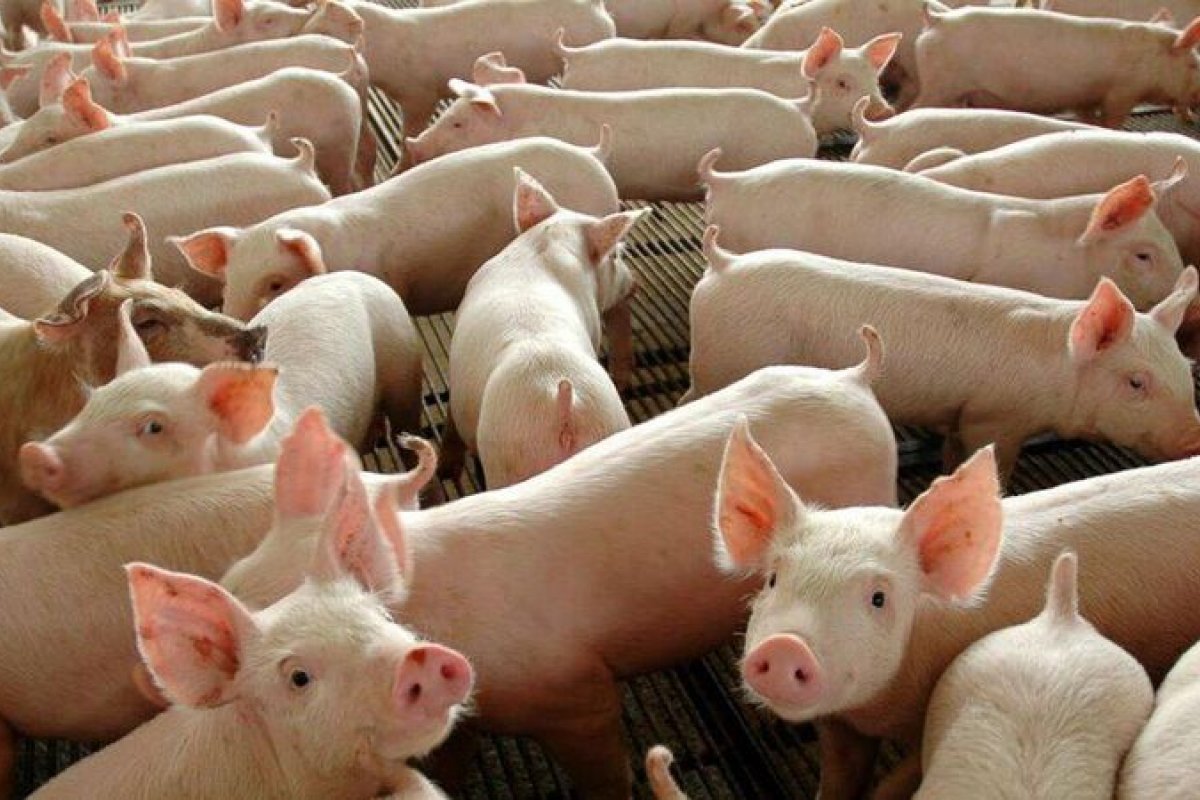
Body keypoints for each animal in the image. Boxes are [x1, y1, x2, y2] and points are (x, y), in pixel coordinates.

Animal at [445, 170, 636, 488]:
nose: (635, 284)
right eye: (615, 256)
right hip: (608, 422)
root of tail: (563, 403)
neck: (543, 254)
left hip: (509, 458)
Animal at [686, 228, 1200, 477]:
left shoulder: (960, 413)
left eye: (1183, 368)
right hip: (724, 359)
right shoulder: (994, 417)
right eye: (1136, 382)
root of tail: (724, 263)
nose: (1193, 440)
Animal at [911, 6, 1200, 127]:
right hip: (940, 84)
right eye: (1194, 64)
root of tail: (938, 20)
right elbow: (1113, 119)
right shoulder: (1122, 91)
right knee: (913, 108)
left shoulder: (1085, 98)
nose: (1197, 102)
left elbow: (1088, 117)